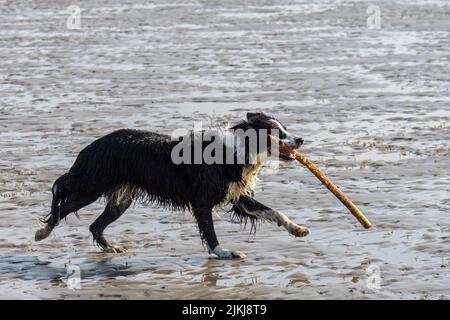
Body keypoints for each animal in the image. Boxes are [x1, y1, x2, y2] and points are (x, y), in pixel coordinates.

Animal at [34, 111, 310, 258]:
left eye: (286, 129)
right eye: (276, 132)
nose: (300, 139)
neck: (237, 150)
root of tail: (92, 146)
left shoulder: (237, 196)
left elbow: (274, 212)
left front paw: (298, 229)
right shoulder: (201, 201)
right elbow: (210, 231)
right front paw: (224, 253)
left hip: (121, 200)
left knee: (95, 225)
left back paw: (111, 248)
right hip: (91, 185)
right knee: (62, 203)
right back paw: (42, 232)